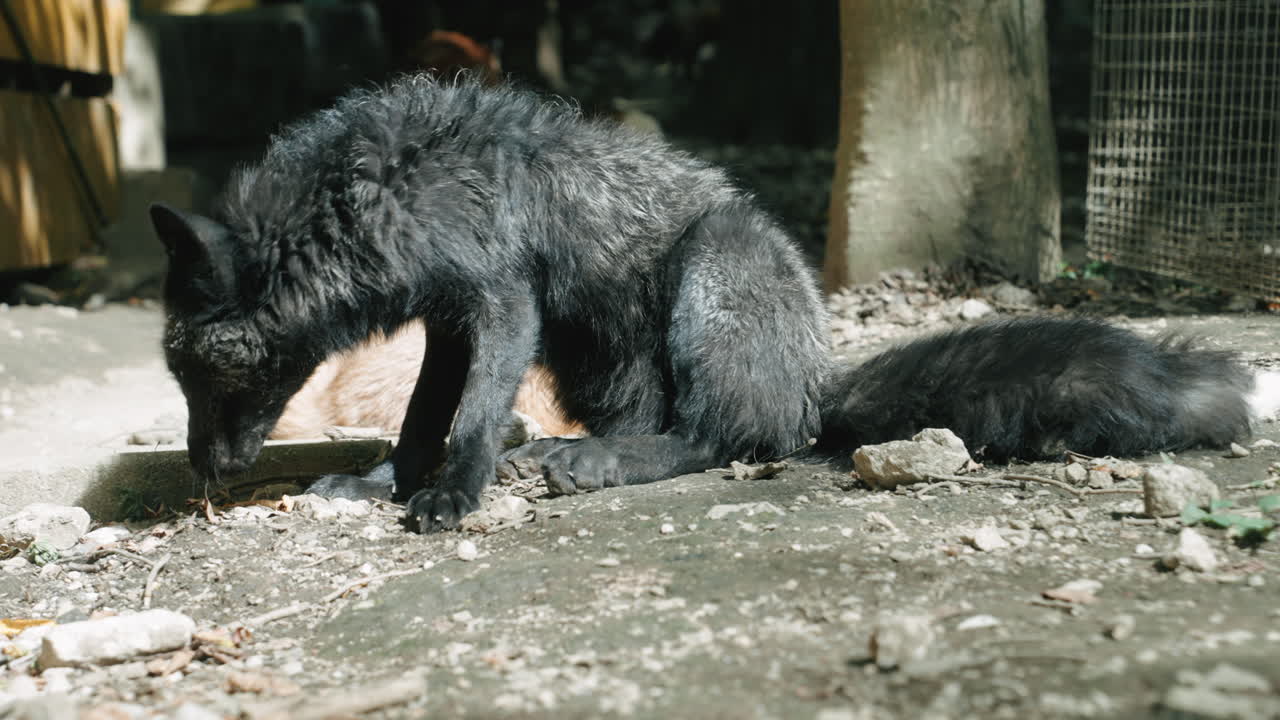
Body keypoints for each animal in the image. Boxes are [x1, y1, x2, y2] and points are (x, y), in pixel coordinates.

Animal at [150, 74, 1258, 533]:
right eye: (178, 375)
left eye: (209, 370)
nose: (206, 474)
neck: (377, 186)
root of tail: (816, 374)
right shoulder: (450, 318)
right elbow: (426, 418)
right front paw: (387, 482)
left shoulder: (499, 299)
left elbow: (464, 422)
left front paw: (449, 496)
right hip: (589, 353)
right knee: (679, 422)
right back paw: (573, 452)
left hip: (709, 273)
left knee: (729, 437)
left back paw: (594, 464)